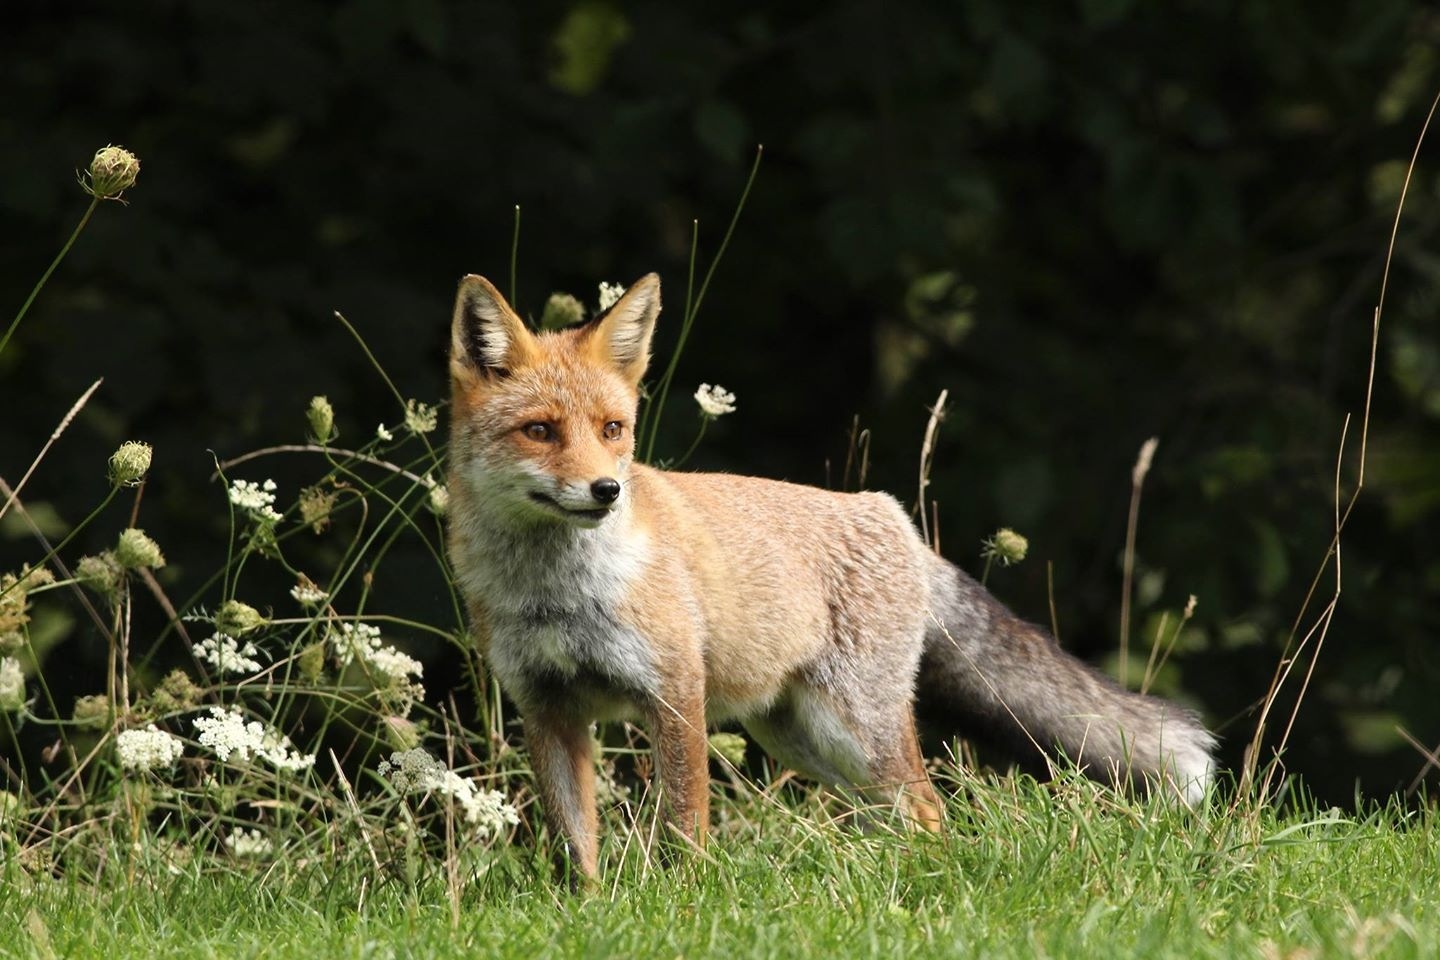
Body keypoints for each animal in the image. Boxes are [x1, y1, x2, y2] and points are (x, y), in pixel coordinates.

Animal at [445, 271, 1215, 881]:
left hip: (854, 728)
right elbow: (576, 850)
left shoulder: (675, 693)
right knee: (890, 817)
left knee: (927, 809)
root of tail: (890, 514)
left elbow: (686, 831)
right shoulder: (548, 709)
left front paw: (685, 904)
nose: (606, 490)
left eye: (612, 429)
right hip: (800, 737)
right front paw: (591, 909)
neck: (556, 595)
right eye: (540, 431)